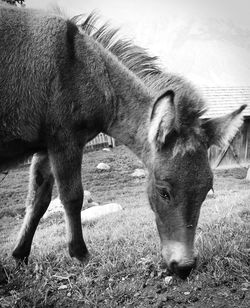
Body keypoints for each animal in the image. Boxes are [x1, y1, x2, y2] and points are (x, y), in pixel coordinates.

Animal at [0, 4, 246, 280]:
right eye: (163, 191)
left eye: (207, 191)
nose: (184, 268)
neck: (86, 68)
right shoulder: (65, 142)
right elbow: (72, 197)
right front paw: (81, 254)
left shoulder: (45, 148)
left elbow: (38, 201)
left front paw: (20, 255)